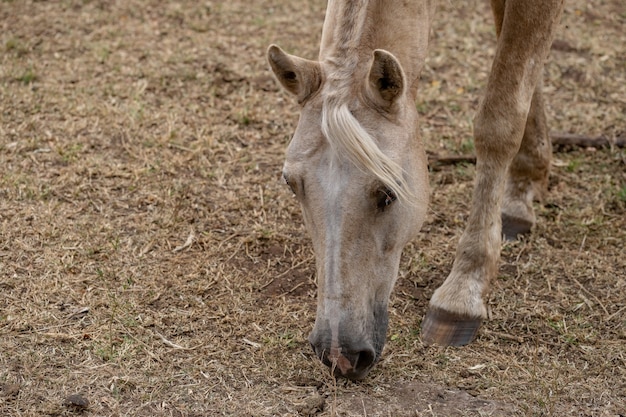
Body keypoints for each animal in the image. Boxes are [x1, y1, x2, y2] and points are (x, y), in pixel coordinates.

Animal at [266, 0, 564, 380]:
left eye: (388, 194)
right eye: (292, 185)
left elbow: (500, 118)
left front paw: (463, 291)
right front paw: (523, 187)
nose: (339, 353)